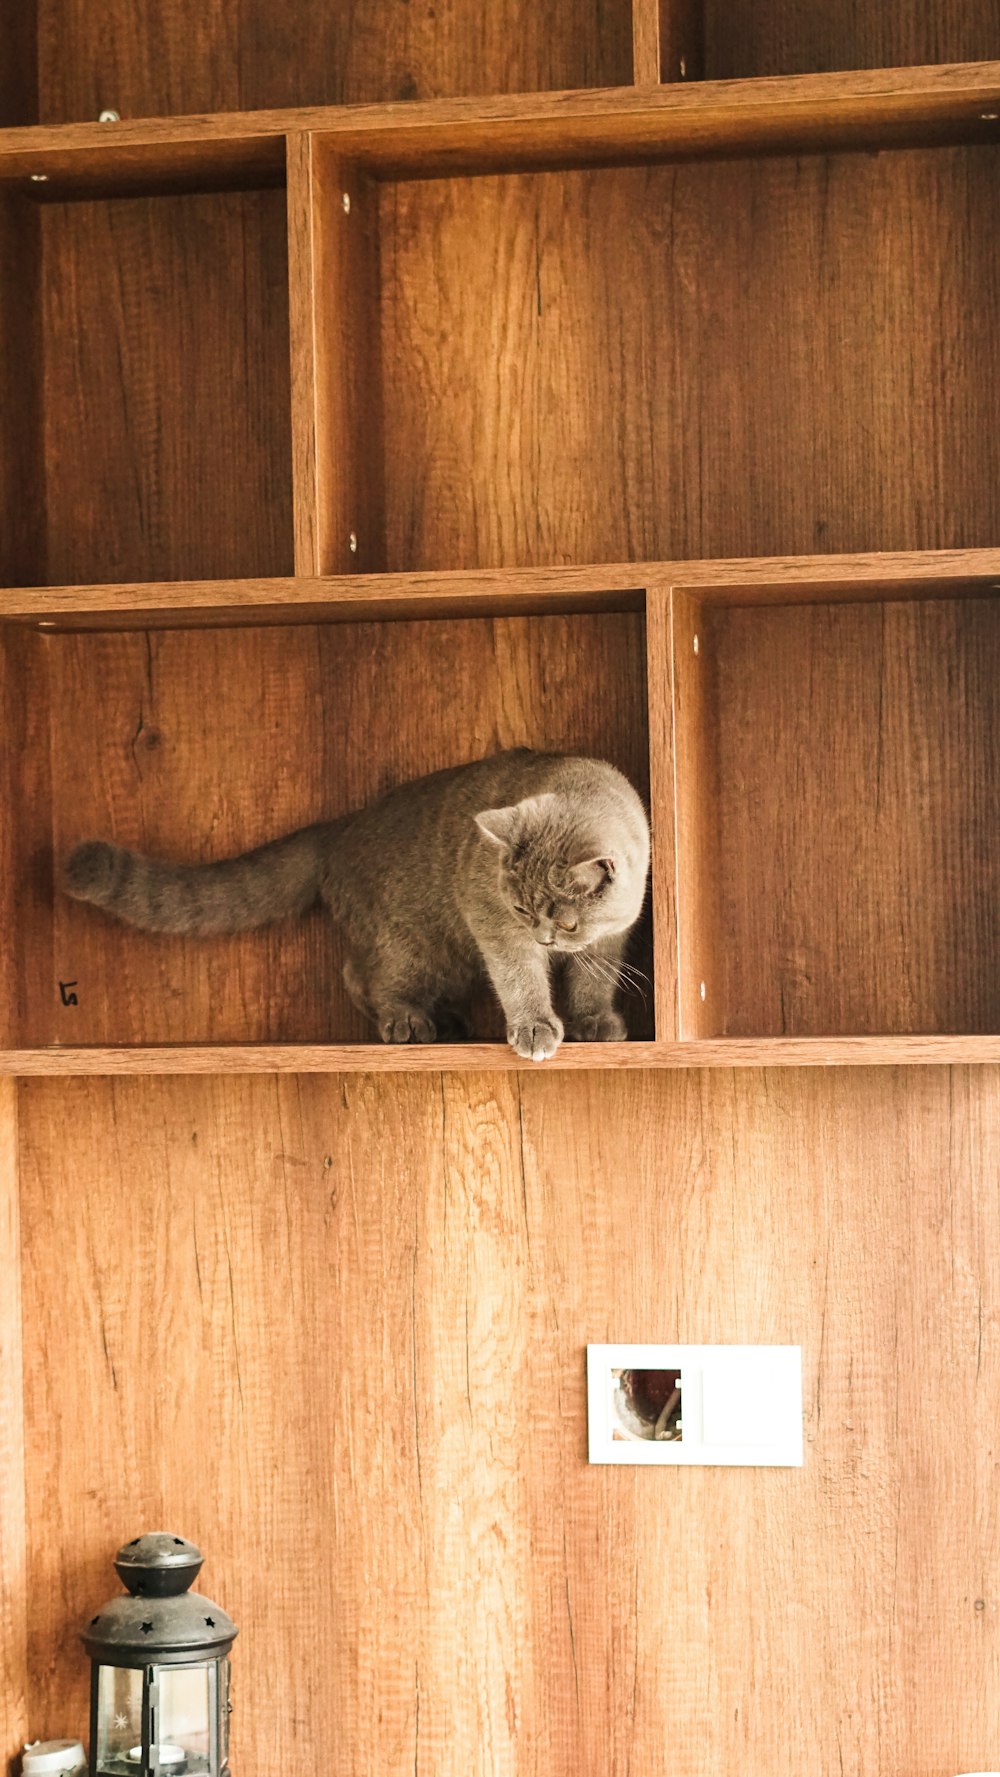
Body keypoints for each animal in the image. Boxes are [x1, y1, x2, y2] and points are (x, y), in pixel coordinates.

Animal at [64, 746, 657, 1051]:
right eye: (520, 911)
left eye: (568, 923)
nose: (545, 938)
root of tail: (342, 826)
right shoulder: (491, 920)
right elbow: (519, 976)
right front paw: (535, 1026)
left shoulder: (613, 937)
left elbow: (594, 979)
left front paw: (594, 1022)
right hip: (408, 943)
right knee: (364, 976)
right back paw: (409, 1022)